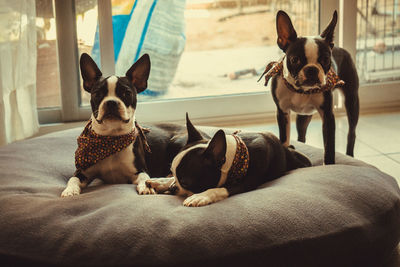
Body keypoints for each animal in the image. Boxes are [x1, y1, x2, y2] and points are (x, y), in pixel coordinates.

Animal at [145, 114, 310, 207]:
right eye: (172, 171)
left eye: (185, 182)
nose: (173, 188)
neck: (237, 155)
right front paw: (162, 181)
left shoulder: (246, 184)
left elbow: (219, 189)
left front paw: (200, 196)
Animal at [268, 10, 360, 164]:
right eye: (295, 60)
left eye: (326, 60)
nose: (311, 69)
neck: (300, 90)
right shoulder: (282, 112)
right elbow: (284, 137)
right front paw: (287, 151)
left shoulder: (328, 116)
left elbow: (329, 146)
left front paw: (329, 164)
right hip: (303, 116)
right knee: (302, 134)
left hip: (352, 101)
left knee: (351, 132)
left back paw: (350, 154)